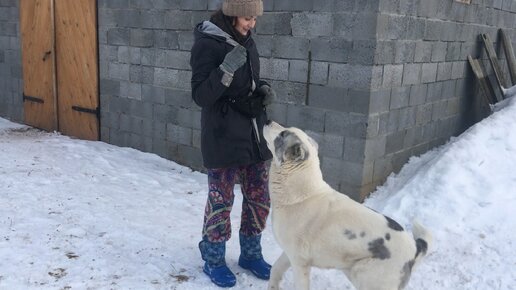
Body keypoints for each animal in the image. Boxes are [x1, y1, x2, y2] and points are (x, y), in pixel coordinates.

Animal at [262, 121, 432, 290]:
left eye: (283, 134)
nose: (268, 121)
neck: (301, 195)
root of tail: (414, 248)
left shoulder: (299, 262)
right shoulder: (288, 253)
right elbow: (275, 269)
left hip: (364, 275)